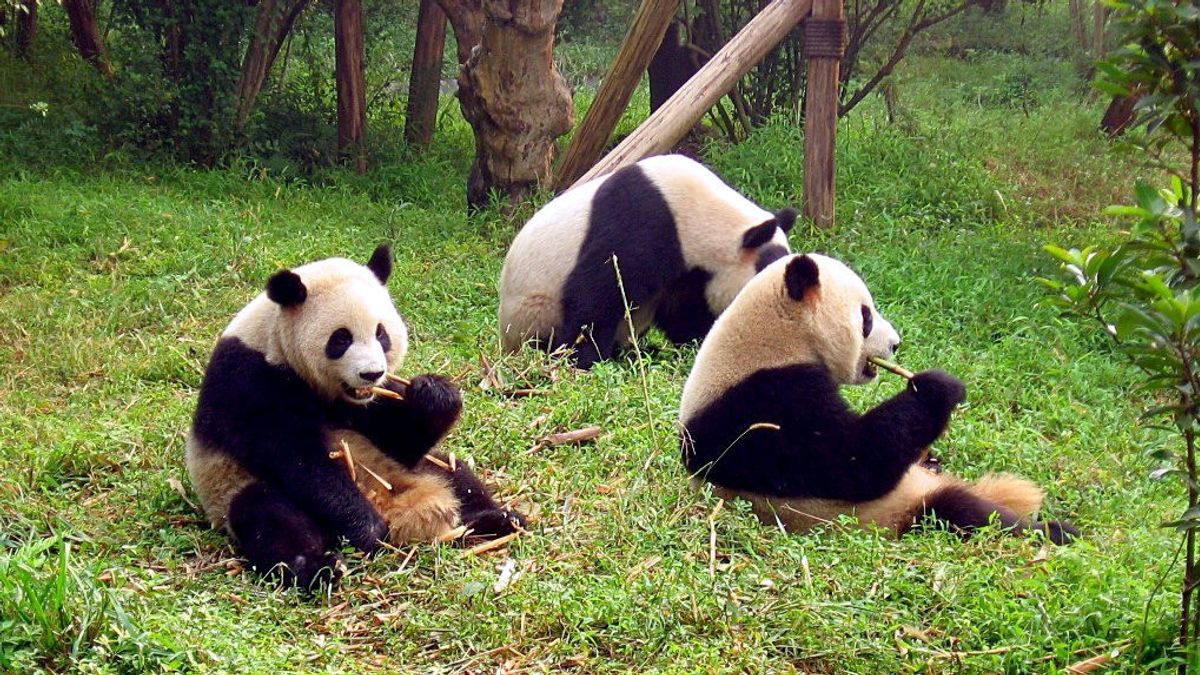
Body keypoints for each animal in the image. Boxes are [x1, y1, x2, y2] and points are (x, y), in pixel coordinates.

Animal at [186, 245, 525, 588]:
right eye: (341, 339)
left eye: (381, 334)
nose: (371, 373)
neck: (275, 342)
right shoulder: (251, 381)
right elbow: (301, 461)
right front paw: (365, 527)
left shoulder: (367, 403)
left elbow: (400, 439)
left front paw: (434, 395)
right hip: (231, 485)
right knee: (270, 516)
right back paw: (319, 567)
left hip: (413, 469)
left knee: (456, 474)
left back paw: (499, 519)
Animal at [498, 154, 795, 369]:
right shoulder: (641, 223)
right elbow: (597, 293)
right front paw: (584, 358)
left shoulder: (688, 270)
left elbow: (684, 309)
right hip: (533, 309)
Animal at [677, 253, 1077, 544]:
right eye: (866, 317)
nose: (896, 344)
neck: (774, 337)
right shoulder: (764, 402)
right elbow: (853, 462)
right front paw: (936, 388)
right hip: (901, 509)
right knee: (964, 512)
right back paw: (1054, 531)